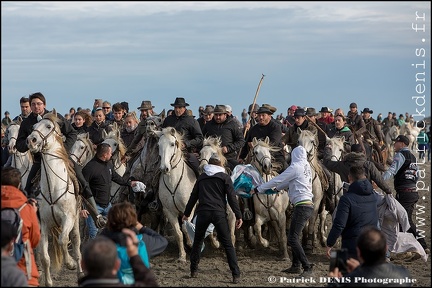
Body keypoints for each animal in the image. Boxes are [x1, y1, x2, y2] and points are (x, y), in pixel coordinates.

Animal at [26, 111, 82, 286]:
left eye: (48, 126)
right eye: (33, 126)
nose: (31, 140)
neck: (53, 188)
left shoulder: (68, 218)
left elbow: (63, 240)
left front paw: (70, 263)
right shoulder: (43, 224)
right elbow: (45, 258)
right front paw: (48, 282)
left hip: (76, 222)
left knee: (76, 245)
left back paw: (79, 272)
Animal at [155, 127, 196, 262]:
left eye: (172, 144)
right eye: (158, 145)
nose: (164, 168)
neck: (173, 181)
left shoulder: (188, 210)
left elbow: (186, 228)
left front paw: (191, 244)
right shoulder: (169, 212)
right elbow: (178, 233)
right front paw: (182, 256)